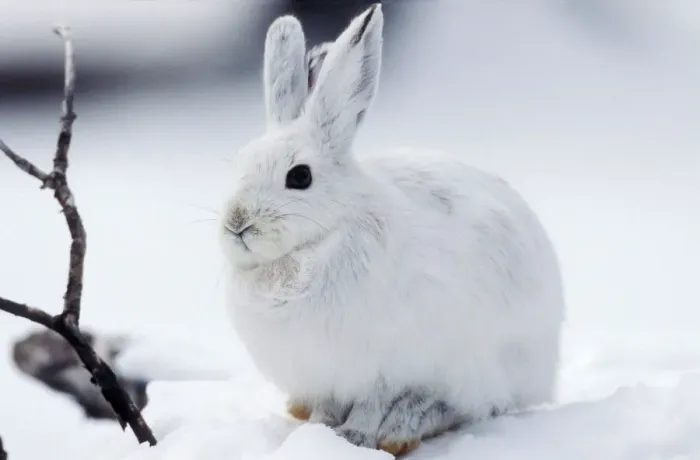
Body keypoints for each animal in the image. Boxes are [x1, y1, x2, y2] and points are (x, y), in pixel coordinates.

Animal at [219, 3, 565, 456]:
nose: (236, 223)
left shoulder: (383, 368)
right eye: (239, 163)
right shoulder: (323, 374)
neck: (317, 244)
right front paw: (319, 429)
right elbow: (327, 406)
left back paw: (403, 428)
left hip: (481, 366)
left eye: (299, 177)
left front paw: (353, 437)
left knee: (465, 404)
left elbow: (372, 404)